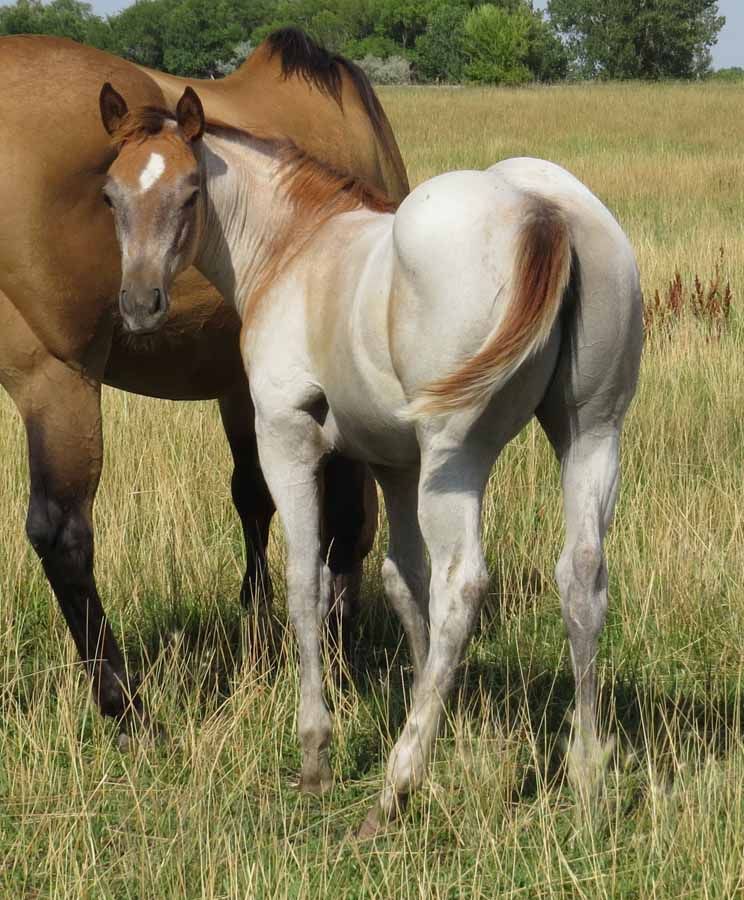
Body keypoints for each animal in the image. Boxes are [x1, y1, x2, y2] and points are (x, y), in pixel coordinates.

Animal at [0, 30, 408, 739]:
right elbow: (341, 517)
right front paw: (333, 646)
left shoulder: (240, 384)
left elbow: (254, 497)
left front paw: (263, 622)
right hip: (56, 379)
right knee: (63, 534)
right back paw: (125, 705)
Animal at [99, 85, 643, 833]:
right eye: (110, 194)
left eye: (188, 193)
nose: (139, 303)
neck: (296, 246)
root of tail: (542, 213)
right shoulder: (394, 466)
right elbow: (402, 580)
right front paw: (447, 730)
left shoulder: (287, 436)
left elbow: (307, 582)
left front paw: (317, 754)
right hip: (591, 434)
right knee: (581, 575)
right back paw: (587, 775)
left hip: (456, 455)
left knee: (464, 584)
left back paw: (395, 788)